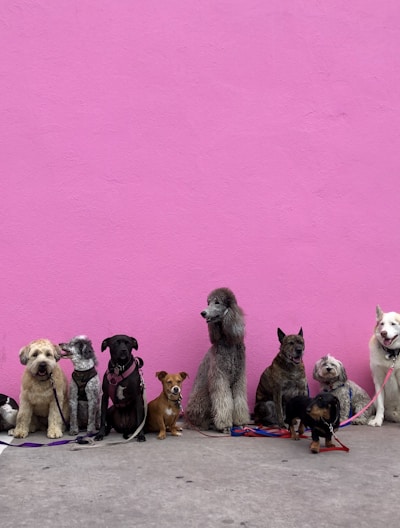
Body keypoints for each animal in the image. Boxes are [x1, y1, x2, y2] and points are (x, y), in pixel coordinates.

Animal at [185, 288, 250, 434]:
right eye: (208, 302)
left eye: (217, 302)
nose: (203, 313)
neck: (228, 342)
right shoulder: (219, 377)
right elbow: (223, 399)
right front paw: (225, 425)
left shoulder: (239, 377)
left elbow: (239, 399)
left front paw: (240, 422)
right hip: (203, 397)